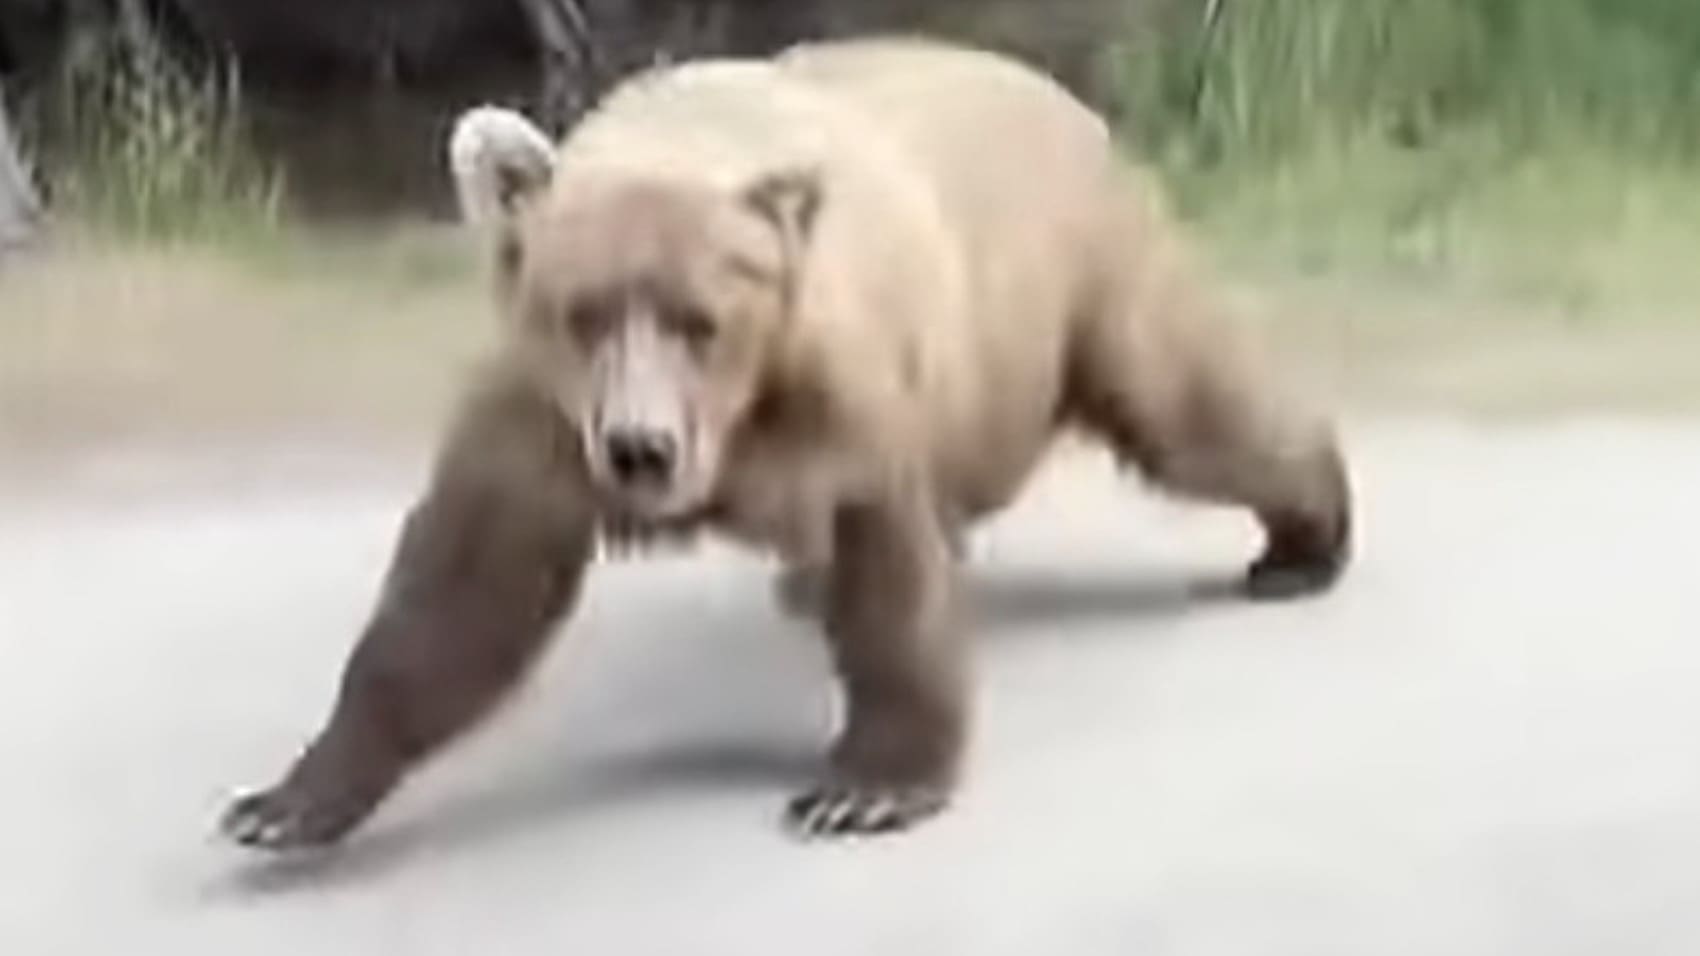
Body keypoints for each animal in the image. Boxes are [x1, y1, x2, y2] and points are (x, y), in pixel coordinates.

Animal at [220, 36, 1351, 848]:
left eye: (701, 319)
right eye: (582, 311)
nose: (640, 450)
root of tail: (1062, 96)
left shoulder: (833, 392)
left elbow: (883, 562)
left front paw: (864, 789)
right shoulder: (540, 417)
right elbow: (460, 592)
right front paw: (280, 803)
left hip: (1076, 274)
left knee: (1190, 403)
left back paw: (1303, 541)